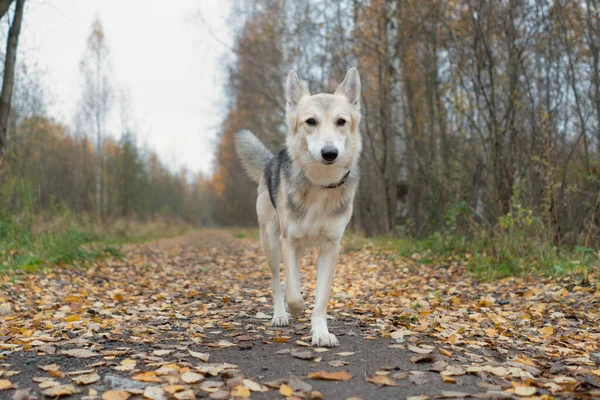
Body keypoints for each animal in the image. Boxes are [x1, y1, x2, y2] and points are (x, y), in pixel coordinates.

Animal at [236, 67, 364, 346]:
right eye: (310, 122)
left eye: (341, 122)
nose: (330, 153)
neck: (320, 184)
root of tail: (271, 160)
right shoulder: (289, 241)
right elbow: (293, 293)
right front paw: (295, 309)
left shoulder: (330, 247)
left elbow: (321, 300)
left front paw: (321, 332)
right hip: (272, 243)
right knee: (277, 282)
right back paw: (280, 314)